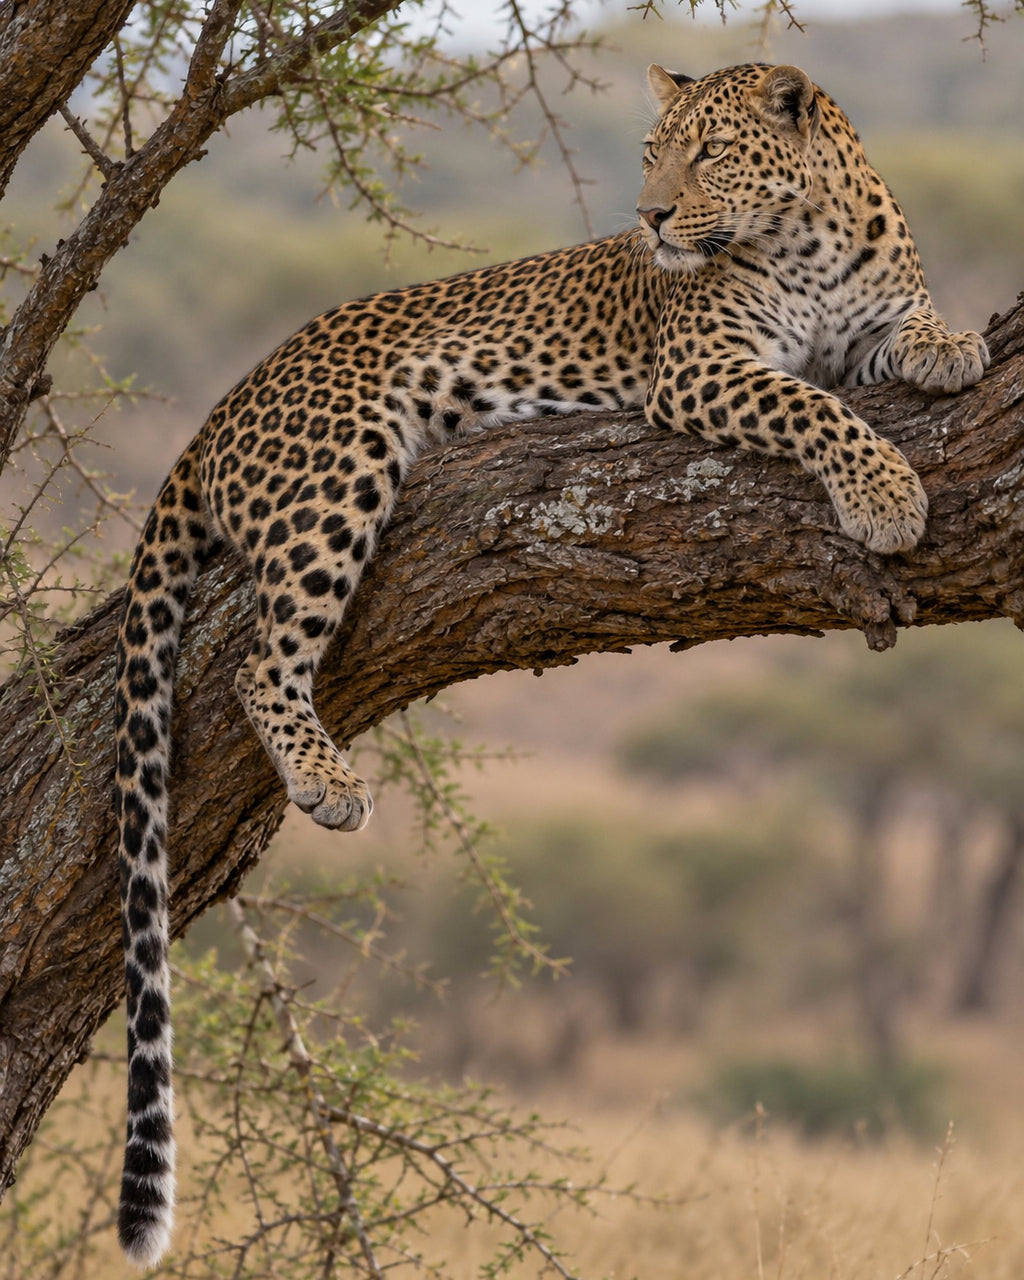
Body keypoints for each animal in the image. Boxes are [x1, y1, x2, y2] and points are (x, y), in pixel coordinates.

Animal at [114, 61, 989, 1264]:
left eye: (709, 153)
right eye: (653, 153)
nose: (651, 218)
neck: (807, 235)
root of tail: (224, 405)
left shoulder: (856, 330)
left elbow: (901, 328)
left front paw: (951, 345)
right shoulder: (704, 367)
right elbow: (811, 404)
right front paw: (887, 494)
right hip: (338, 472)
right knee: (259, 660)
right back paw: (327, 780)